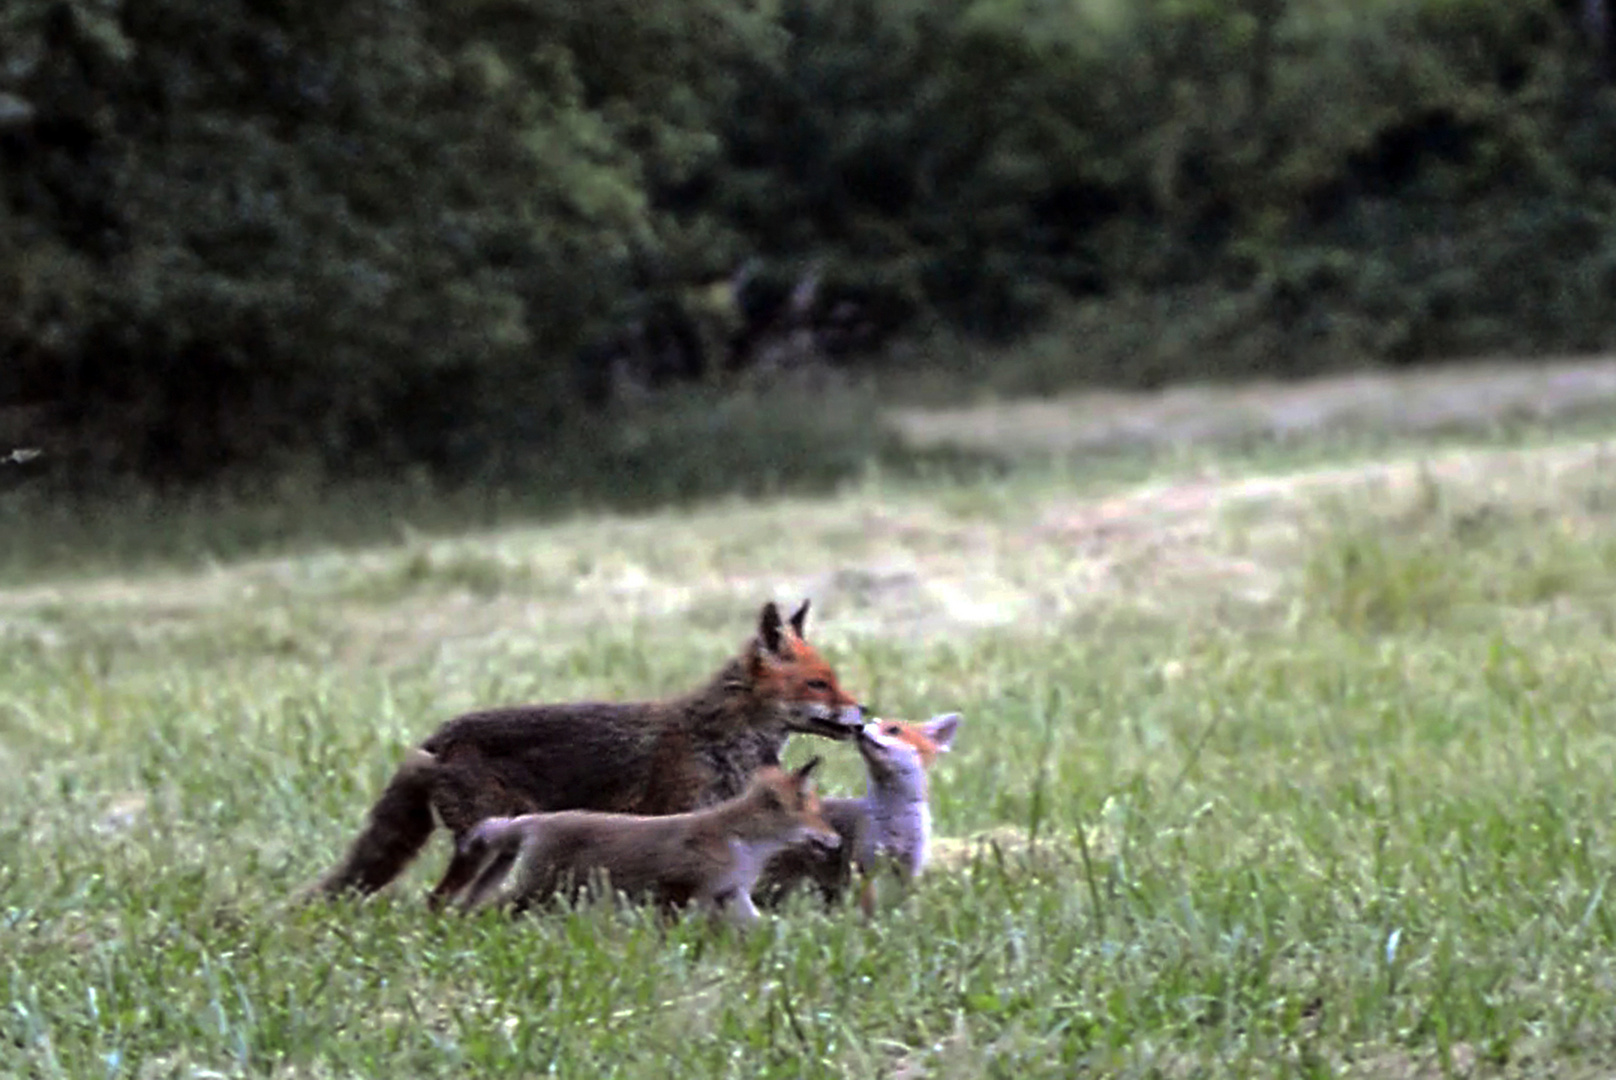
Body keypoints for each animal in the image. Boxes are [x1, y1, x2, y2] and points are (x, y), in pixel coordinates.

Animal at [311, 598, 872, 905]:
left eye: (836, 681)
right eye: (820, 684)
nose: (864, 710)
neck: (718, 742)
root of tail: (438, 736)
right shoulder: (675, 817)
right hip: (483, 843)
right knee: (437, 901)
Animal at [449, 756, 840, 924]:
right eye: (816, 815)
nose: (836, 841)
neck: (743, 847)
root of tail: (532, 821)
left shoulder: (733, 893)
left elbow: (767, 929)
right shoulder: (676, 890)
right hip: (539, 891)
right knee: (487, 907)